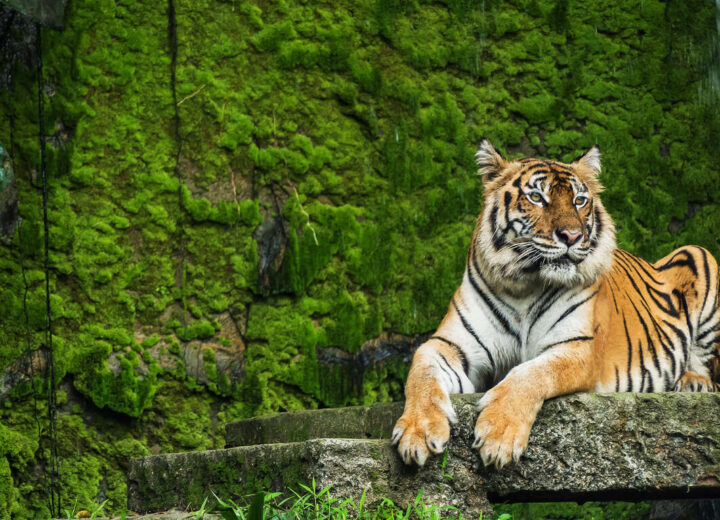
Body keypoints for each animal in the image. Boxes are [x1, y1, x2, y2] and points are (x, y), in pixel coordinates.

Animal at [391, 139, 720, 469]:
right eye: (537, 197)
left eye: (579, 200)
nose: (572, 236)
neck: (524, 285)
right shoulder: (448, 344)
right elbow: (421, 373)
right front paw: (418, 432)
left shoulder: (577, 346)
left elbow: (530, 373)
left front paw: (499, 435)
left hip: (699, 254)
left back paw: (692, 383)